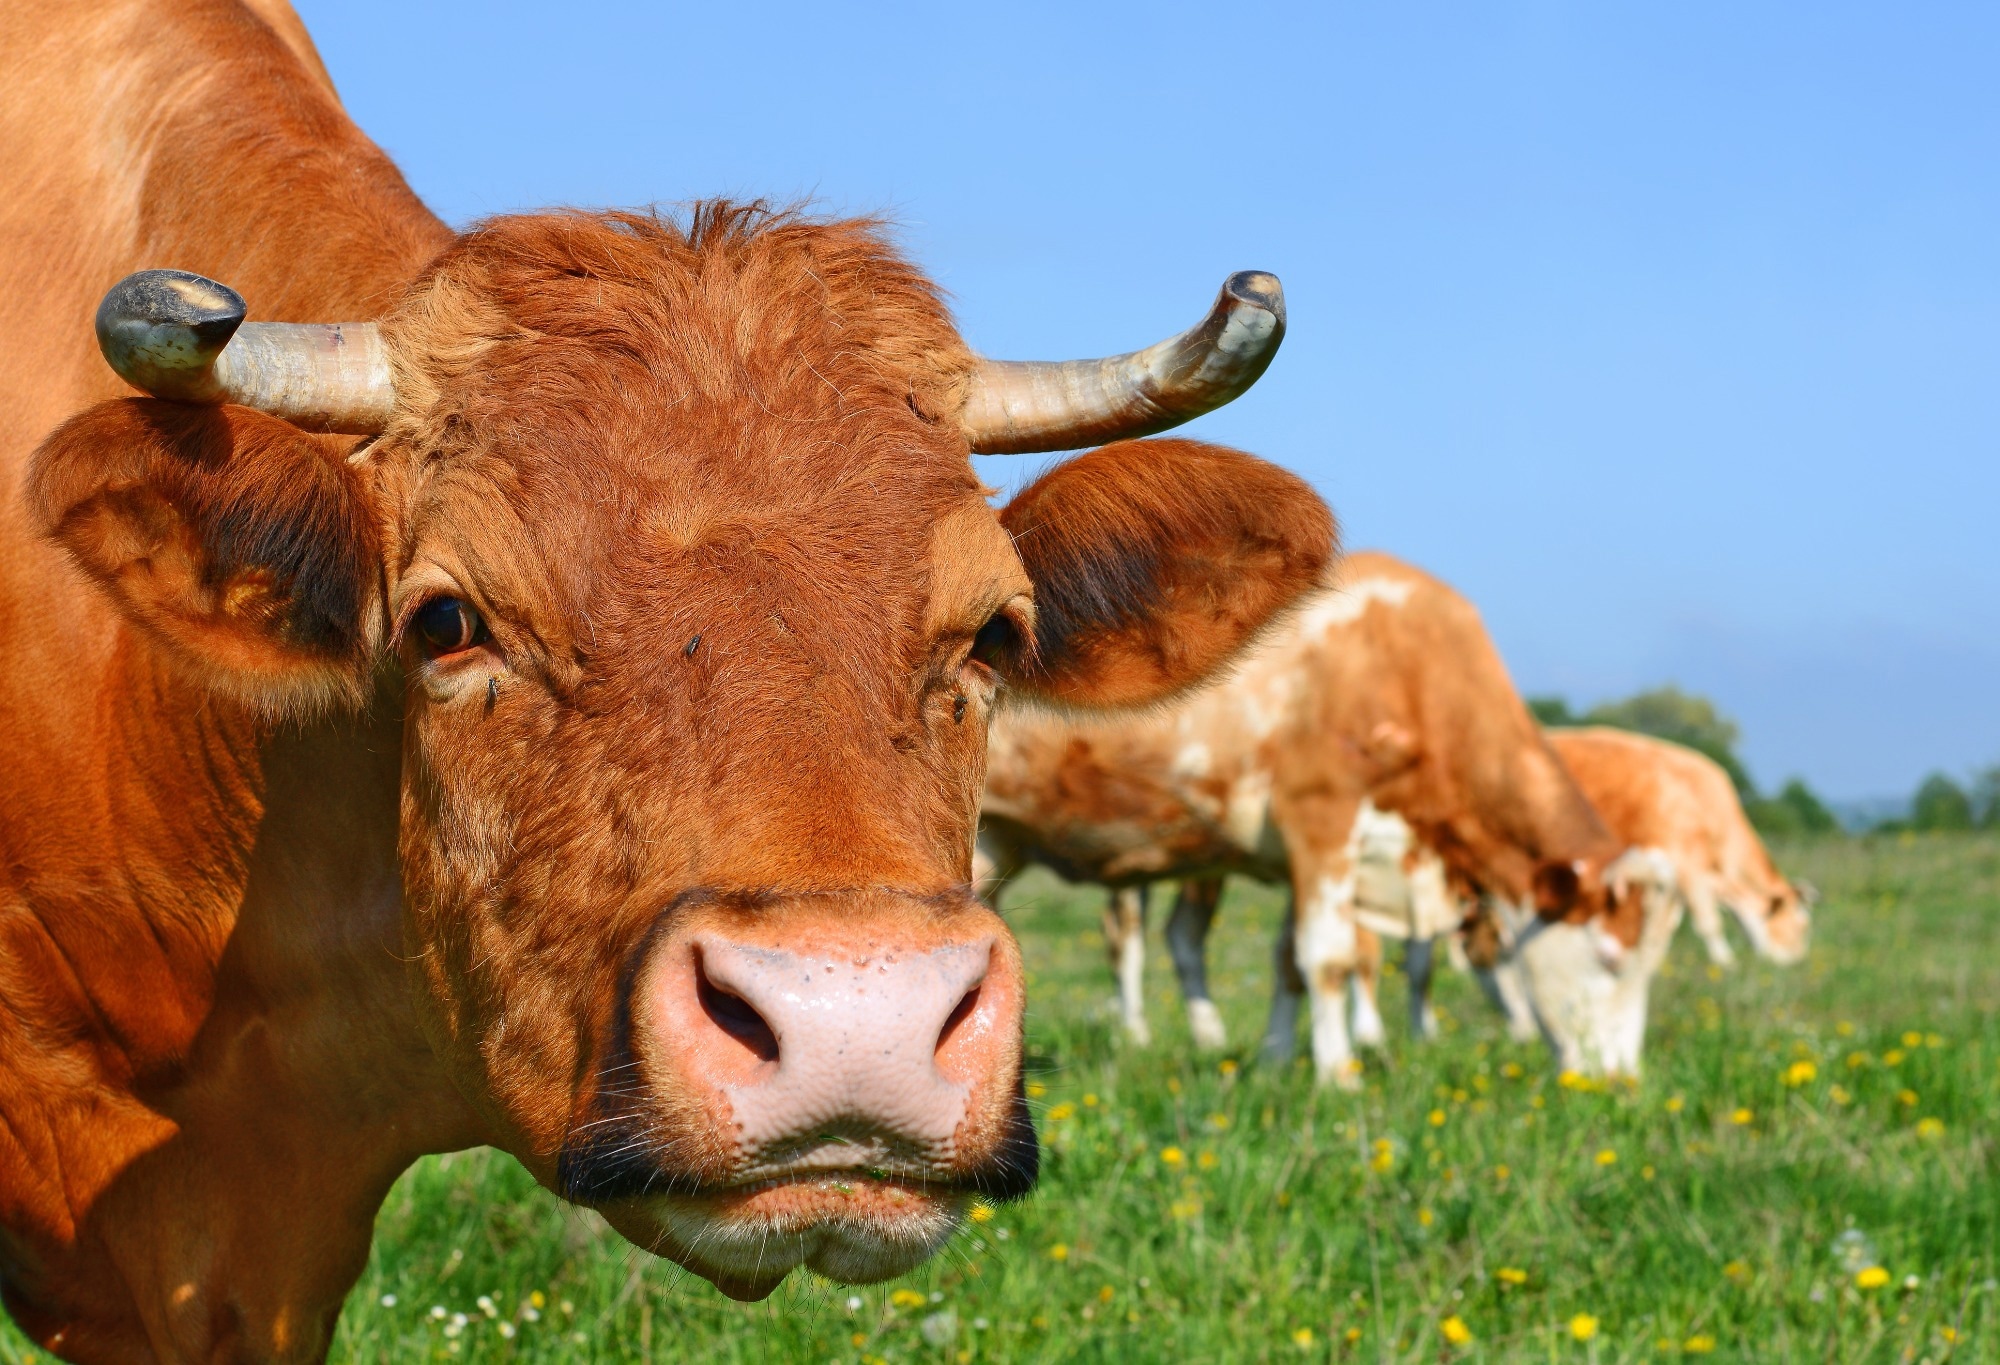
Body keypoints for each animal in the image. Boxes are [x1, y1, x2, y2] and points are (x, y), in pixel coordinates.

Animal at [978, 550, 1679, 1087]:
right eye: (1611, 962)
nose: (1623, 1080)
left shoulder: (1306, 852)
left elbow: (1289, 959)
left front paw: (1276, 1060)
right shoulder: (1320, 813)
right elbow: (1329, 956)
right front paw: (1339, 1075)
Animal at [1548, 727, 1812, 966]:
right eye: (1801, 926)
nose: (1798, 960)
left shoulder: (1677, 878)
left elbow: (1665, 924)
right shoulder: (1686, 863)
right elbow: (1708, 922)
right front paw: (1726, 963)